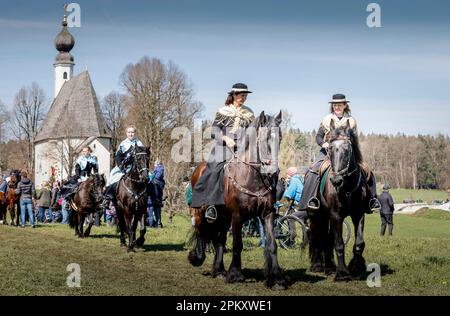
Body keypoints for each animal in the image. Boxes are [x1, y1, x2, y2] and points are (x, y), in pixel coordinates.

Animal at [187, 111, 288, 288]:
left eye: (280, 137)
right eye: (264, 138)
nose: (273, 172)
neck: (252, 178)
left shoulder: (267, 214)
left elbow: (272, 245)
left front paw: (276, 278)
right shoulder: (237, 216)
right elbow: (237, 244)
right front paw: (235, 275)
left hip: (223, 217)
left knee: (218, 240)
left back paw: (219, 270)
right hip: (200, 212)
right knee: (200, 230)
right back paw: (197, 258)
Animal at [308, 119, 370, 280]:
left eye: (347, 149)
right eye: (329, 148)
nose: (336, 180)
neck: (347, 187)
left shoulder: (358, 215)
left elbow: (359, 243)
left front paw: (355, 267)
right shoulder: (336, 216)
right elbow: (339, 243)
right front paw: (342, 273)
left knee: (326, 239)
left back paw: (329, 267)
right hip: (316, 217)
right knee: (317, 237)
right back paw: (318, 266)